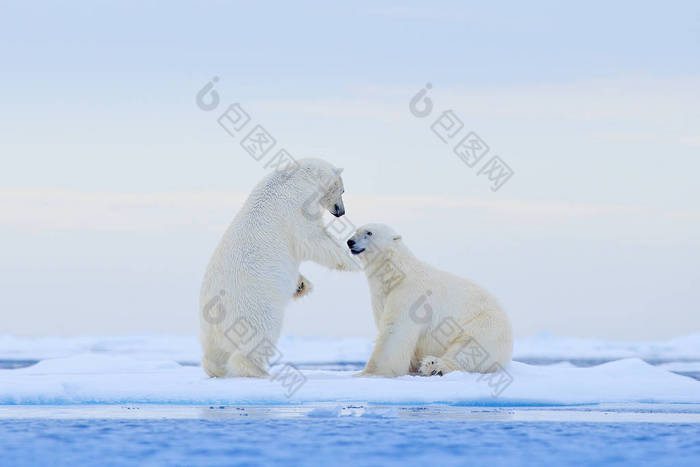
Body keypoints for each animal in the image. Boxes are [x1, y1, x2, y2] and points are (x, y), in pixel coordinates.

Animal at [200, 159, 358, 378]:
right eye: (342, 190)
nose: (341, 211)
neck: (297, 178)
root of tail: (215, 308)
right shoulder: (296, 206)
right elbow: (312, 238)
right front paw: (352, 262)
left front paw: (302, 285)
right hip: (253, 305)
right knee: (260, 334)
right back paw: (260, 371)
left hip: (208, 327)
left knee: (213, 352)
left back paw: (216, 369)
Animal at [346, 222, 516, 376]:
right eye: (356, 230)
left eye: (369, 232)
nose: (350, 242)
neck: (395, 275)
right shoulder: (381, 297)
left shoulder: (410, 295)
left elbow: (395, 330)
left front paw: (370, 372)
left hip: (485, 324)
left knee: (469, 347)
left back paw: (434, 366)